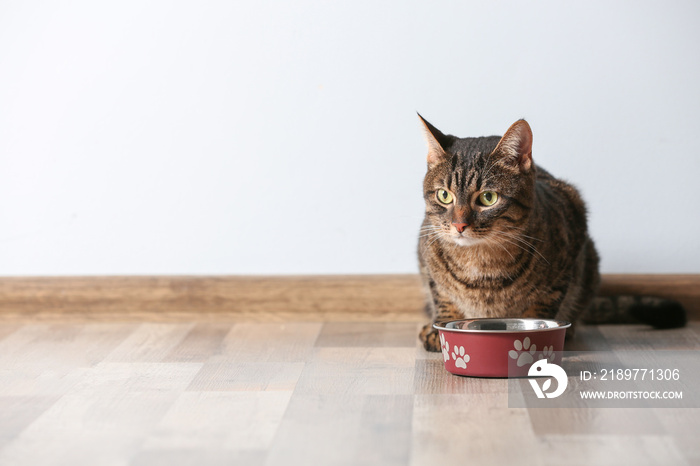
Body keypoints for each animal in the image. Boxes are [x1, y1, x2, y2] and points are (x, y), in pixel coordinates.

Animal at [418, 114, 688, 352]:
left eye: (488, 198)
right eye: (444, 195)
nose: (459, 225)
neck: (480, 262)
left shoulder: (567, 253)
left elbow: (541, 310)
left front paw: (532, 339)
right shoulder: (428, 262)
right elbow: (443, 298)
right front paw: (438, 330)